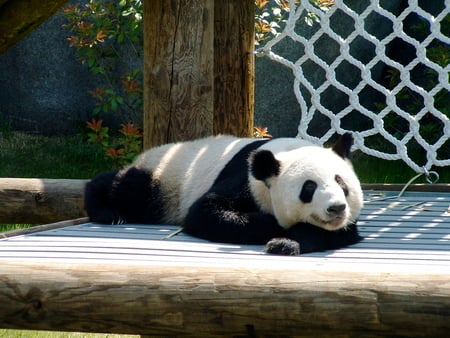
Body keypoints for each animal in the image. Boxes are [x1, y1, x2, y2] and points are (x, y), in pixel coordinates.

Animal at [86, 133, 364, 255]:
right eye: (309, 188)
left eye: (341, 183)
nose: (336, 208)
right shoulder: (246, 180)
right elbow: (206, 212)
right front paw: (274, 227)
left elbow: (335, 233)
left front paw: (285, 243)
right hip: (163, 179)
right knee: (125, 188)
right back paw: (108, 212)